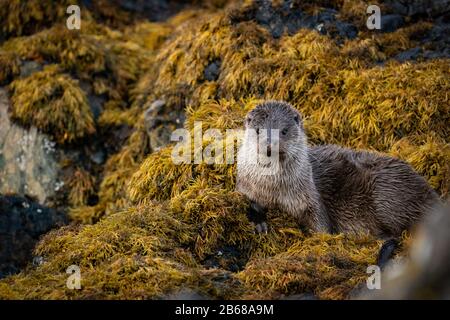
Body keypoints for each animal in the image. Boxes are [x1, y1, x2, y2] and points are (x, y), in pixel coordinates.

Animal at [236, 100, 440, 248]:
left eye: (284, 131)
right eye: (258, 130)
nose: (269, 146)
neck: (274, 189)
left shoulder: (310, 195)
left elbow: (321, 223)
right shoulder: (246, 185)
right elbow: (252, 201)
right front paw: (260, 223)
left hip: (386, 191)